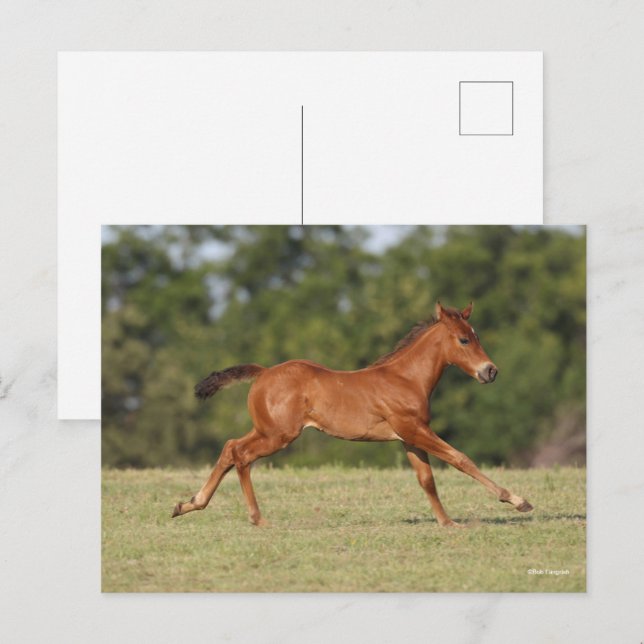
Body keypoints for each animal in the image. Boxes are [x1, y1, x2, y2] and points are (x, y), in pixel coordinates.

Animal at [172, 302, 533, 527]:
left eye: (476, 336)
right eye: (463, 339)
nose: (490, 371)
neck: (405, 378)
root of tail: (263, 373)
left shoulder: (409, 437)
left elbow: (426, 480)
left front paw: (447, 522)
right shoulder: (414, 430)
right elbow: (461, 459)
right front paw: (518, 501)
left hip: (266, 429)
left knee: (230, 447)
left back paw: (188, 504)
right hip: (278, 435)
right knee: (241, 455)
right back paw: (257, 518)